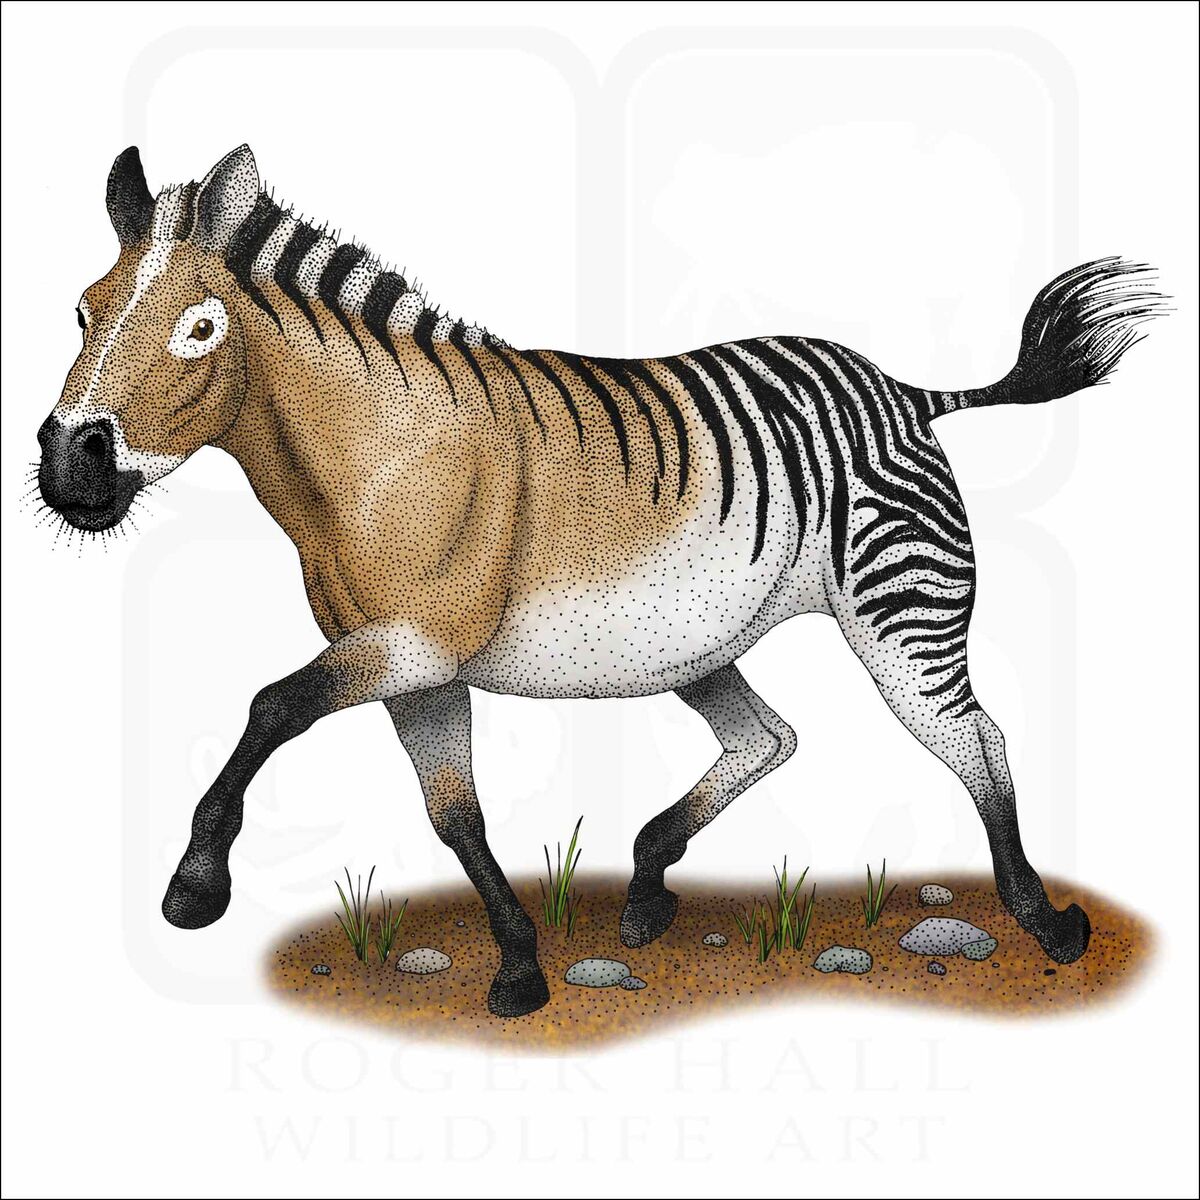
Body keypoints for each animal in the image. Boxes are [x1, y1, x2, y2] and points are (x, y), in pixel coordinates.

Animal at [36, 145, 1160, 1016]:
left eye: (199, 329)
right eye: (82, 312)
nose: (68, 468)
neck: (375, 455)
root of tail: (899, 387)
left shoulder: (414, 644)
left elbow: (271, 705)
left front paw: (193, 886)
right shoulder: (417, 670)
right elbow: (455, 817)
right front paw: (520, 966)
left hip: (902, 611)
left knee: (976, 740)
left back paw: (1045, 923)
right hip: (701, 639)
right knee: (770, 738)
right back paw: (650, 882)